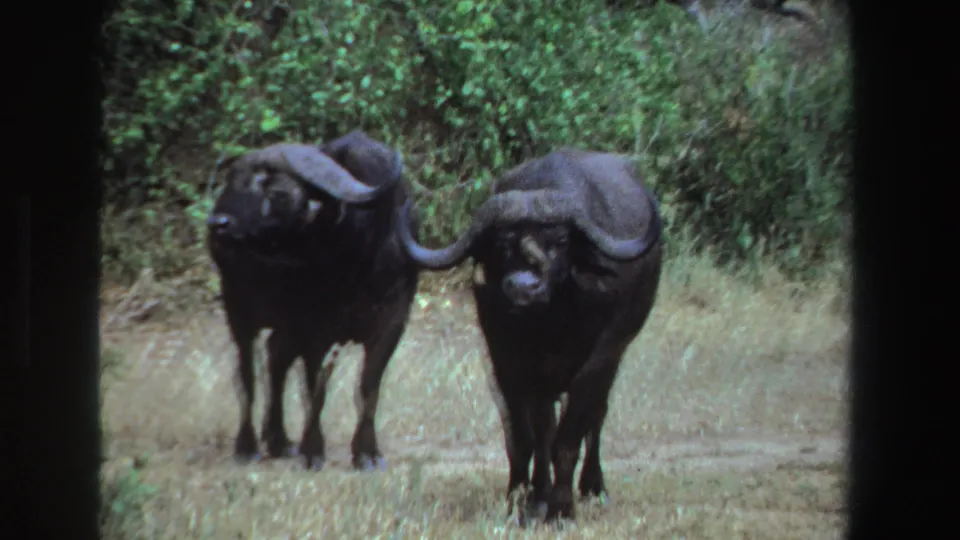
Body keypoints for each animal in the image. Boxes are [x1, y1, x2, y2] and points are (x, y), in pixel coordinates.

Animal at [207, 130, 420, 471]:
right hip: (238, 309)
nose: (218, 223)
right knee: (247, 374)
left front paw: (367, 452)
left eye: (276, 190)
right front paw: (313, 450)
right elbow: (315, 387)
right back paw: (248, 446)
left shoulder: (393, 321)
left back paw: (278, 440)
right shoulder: (316, 328)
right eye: (232, 182)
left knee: (276, 356)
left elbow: (369, 386)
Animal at [396, 149, 663, 522]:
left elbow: (568, 438)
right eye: (501, 243)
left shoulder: (600, 359)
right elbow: (528, 438)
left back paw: (593, 487)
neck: (549, 325)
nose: (524, 288)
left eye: (561, 241)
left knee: (596, 417)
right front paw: (526, 501)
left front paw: (562, 509)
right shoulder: (508, 362)